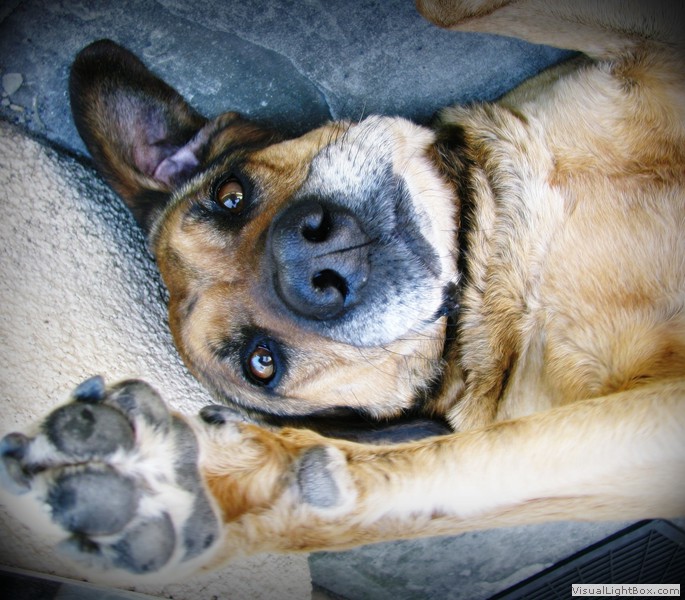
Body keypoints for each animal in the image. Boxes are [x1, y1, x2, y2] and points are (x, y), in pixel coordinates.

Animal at [1, 0, 683, 583]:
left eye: (230, 195)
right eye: (262, 362)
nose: (308, 261)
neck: (484, 253)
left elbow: (448, 10)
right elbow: (444, 469)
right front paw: (217, 484)